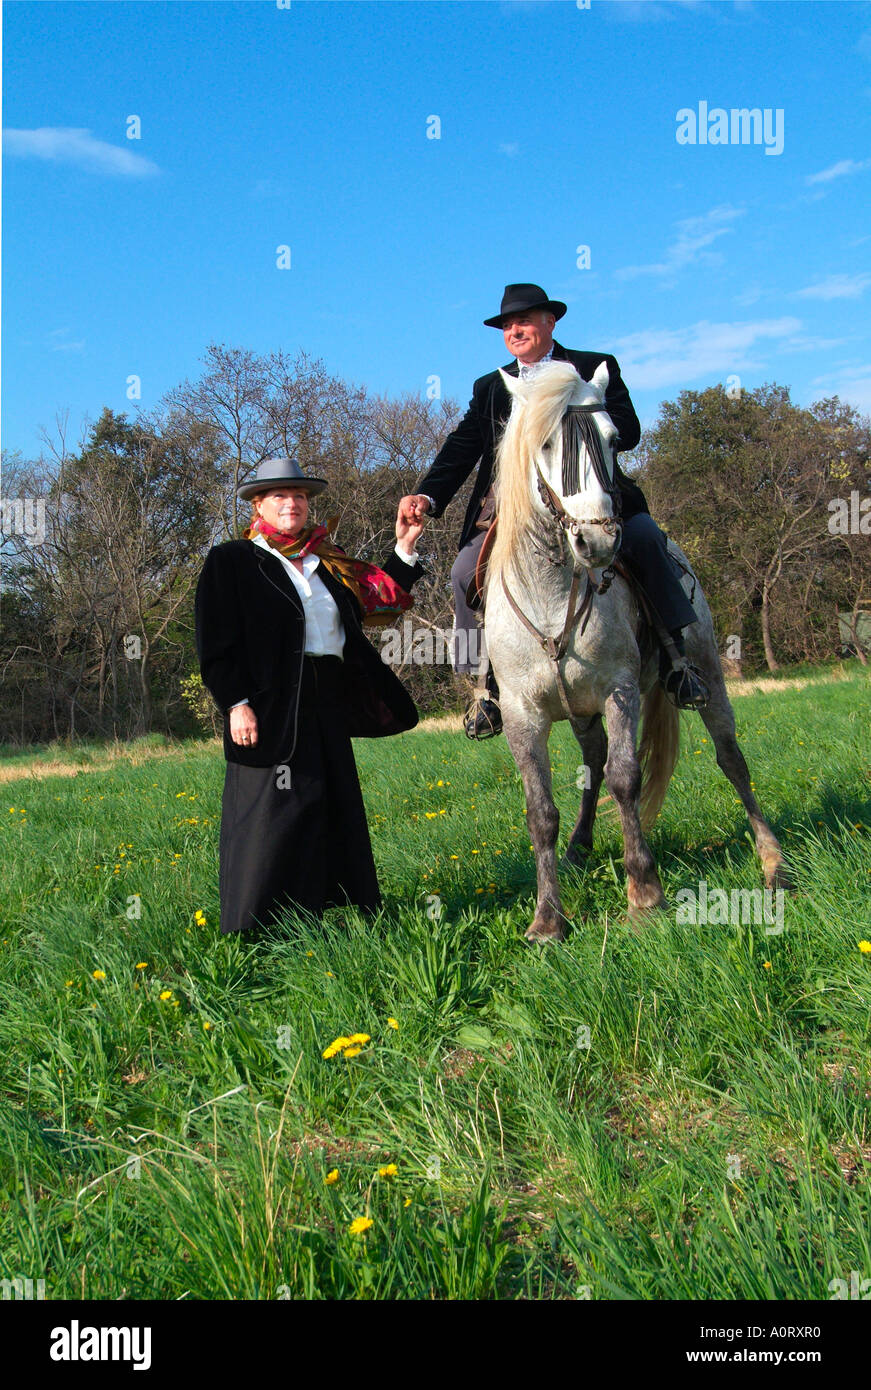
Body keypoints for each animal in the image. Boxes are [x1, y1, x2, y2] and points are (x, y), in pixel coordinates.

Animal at [480, 358, 789, 945]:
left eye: (612, 438)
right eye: (545, 443)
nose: (598, 542)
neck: (552, 593)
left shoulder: (619, 690)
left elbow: (627, 779)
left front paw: (644, 894)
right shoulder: (522, 714)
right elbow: (540, 811)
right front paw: (548, 918)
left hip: (707, 674)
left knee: (731, 759)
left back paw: (774, 864)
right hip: (578, 712)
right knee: (593, 763)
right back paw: (578, 848)